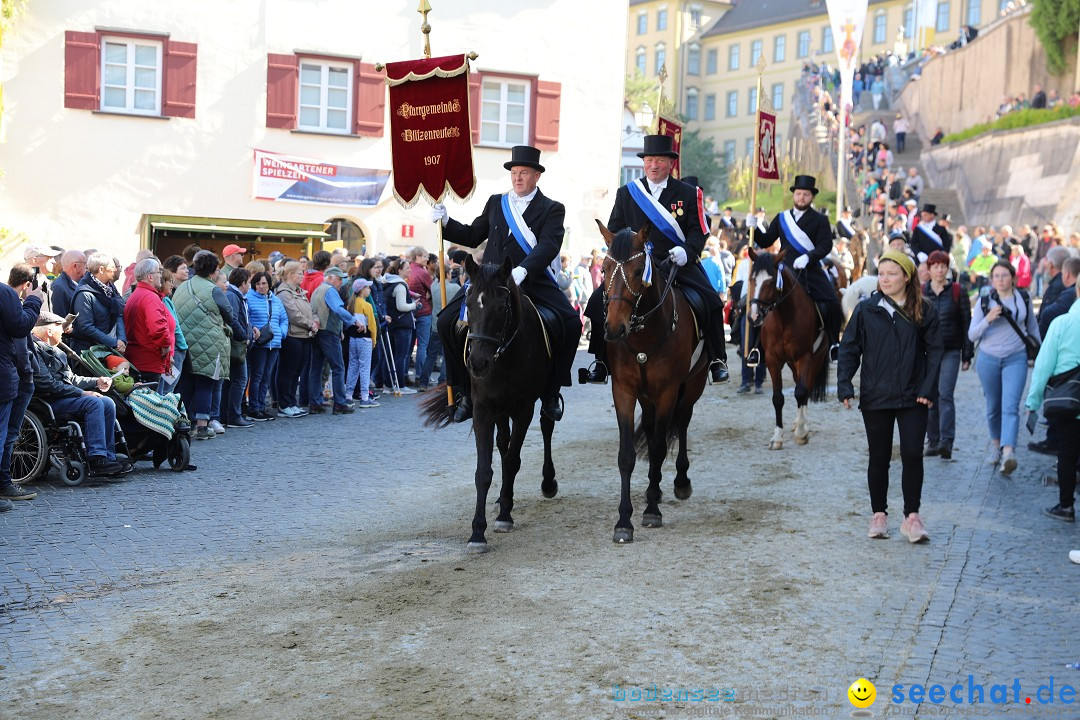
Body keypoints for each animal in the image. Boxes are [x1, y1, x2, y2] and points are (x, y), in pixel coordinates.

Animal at [421, 255, 557, 548]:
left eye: (502, 307)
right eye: (469, 304)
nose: (477, 364)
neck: (504, 356)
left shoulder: (524, 408)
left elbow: (513, 461)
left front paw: (505, 515)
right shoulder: (483, 408)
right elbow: (484, 470)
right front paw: (477, 533)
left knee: (546, 425)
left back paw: (547, 483)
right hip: (500, 410)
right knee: (504, 443)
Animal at [591, 222, 708, 544]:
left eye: (638, 270)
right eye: (604, 269)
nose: (614, 329)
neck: (643, 335)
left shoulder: (668, 391)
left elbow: (657, 448)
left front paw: (652, 511)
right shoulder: (624, 391)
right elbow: (626, 455)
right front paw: (623, 522)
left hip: (692, 385)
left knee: (682, 422)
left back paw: (679, 481)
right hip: (647, 397)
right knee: (655, 424)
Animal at [747, 248, 829, 451]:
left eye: (770, 281)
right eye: (752, 279)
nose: (754, 317)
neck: (784, 318)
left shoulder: (805, 357)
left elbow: (801, 391)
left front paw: (801, 433)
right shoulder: (772, 359)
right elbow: (778, 398)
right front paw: (777, 437)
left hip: (815, 358)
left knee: (806, 388)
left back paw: (802, 425)